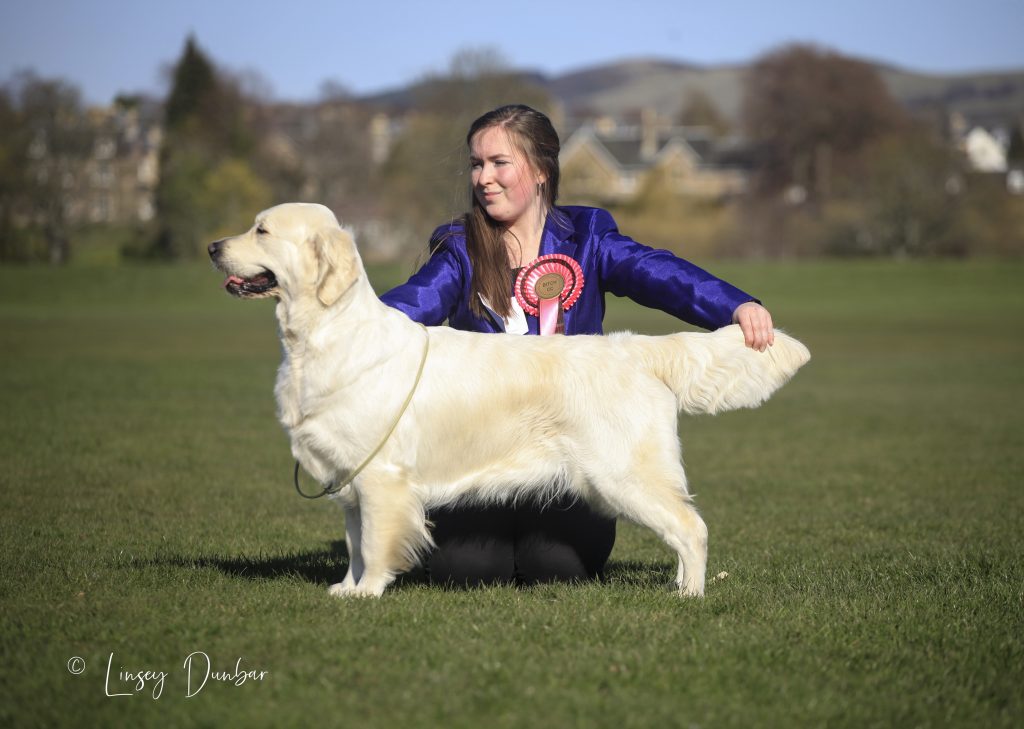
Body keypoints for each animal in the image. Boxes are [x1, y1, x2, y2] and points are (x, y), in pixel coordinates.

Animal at [207, 203, 811, 597]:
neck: (325, 336)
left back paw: (690, 595)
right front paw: (347, 589)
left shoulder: (381, 476)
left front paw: (370, 593)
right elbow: (356, 543)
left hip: (625, 474)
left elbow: (377, 544)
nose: (212, 247)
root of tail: (636, 349)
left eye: (261, 229)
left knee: (691, 528)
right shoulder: (352, 480)